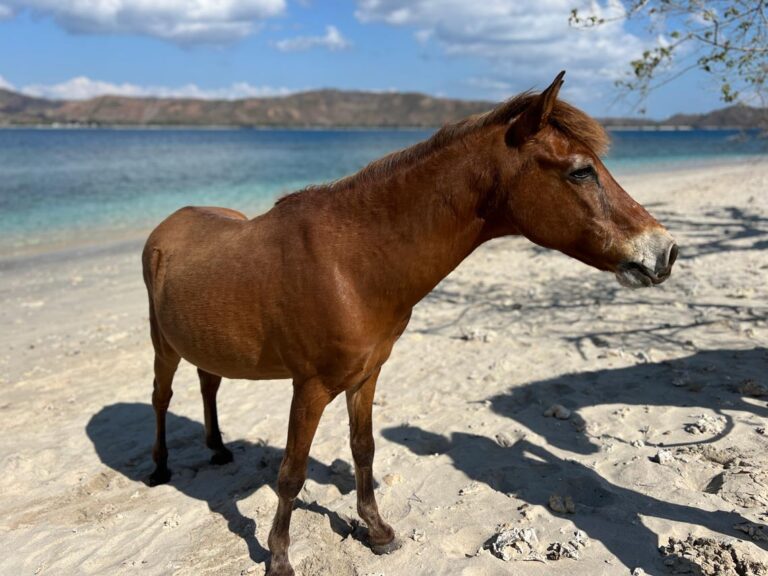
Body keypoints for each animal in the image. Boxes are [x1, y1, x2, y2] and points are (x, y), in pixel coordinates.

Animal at [142, 72, 680, 576]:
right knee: (161, 398)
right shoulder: (310, 387)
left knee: (209, 383)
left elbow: (363, 449)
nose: (665, 250)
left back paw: (217, 449)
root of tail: (167, 225)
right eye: (582, 171)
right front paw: (278, 558)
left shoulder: (365, 375)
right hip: (163, 347)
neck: (350, 264)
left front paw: (376, 530)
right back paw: (160, 467)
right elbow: (292, 473)